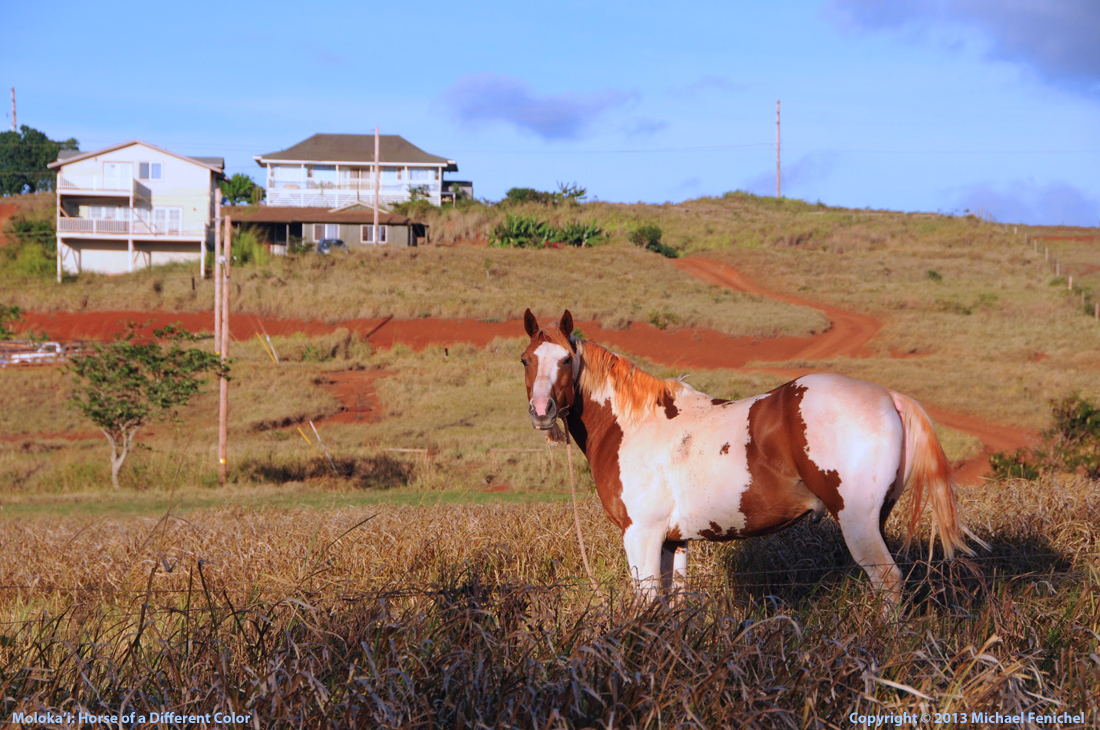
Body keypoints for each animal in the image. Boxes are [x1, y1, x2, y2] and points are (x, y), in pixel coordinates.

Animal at [519, 310, 985, 602]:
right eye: (525, 360)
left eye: (565, 359)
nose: (541, 411)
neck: (634, 424)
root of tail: (890, 397)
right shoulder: (674, 541)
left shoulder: (641, 535)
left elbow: (646, 601)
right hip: (877, 520)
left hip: (858, 523)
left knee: (888, 581)